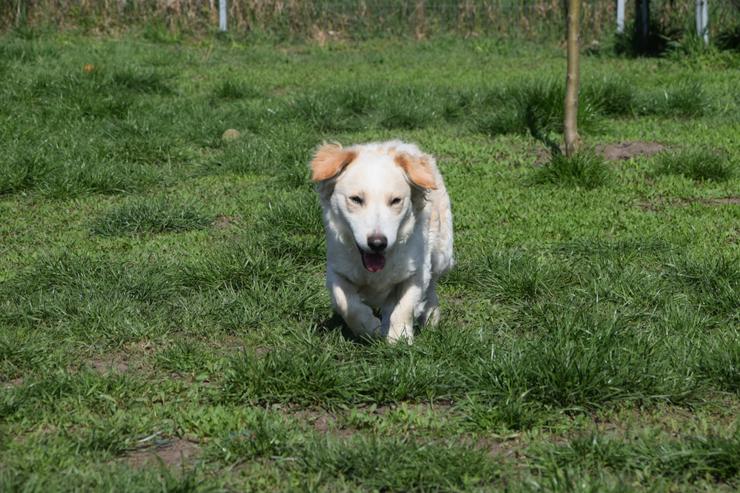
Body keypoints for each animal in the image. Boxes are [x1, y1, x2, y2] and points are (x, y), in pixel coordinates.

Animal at [310, 140, 454, 344]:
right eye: (356, 199)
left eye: (396, 200)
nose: (377, 243)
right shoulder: (336, 271)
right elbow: (346, 305)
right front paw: (369, 328)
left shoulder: (416, 271)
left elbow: (405, 307)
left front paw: (399, 337)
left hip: (441, 255)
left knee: (432, 286)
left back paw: (430, 316)